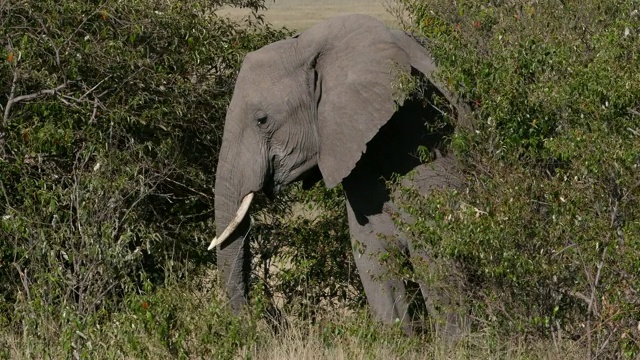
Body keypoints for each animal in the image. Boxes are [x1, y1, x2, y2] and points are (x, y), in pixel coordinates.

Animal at [210, 13, 470, 334]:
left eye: (262, 120)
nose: (255, 321)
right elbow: (372, 258)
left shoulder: (426, 137)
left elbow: (436, 258)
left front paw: (458, 342)